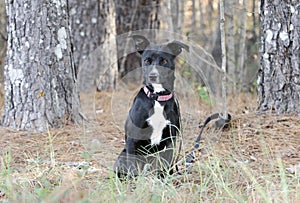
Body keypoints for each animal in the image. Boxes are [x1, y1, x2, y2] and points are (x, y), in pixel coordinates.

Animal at [113, 35, 189, 177]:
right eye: (147, 61)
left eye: (164, 61)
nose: (153, 76)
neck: (157, 98)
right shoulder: (132, 139)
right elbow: (132, 166)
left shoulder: (171, 139)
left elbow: (166, 163)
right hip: (122, 156)